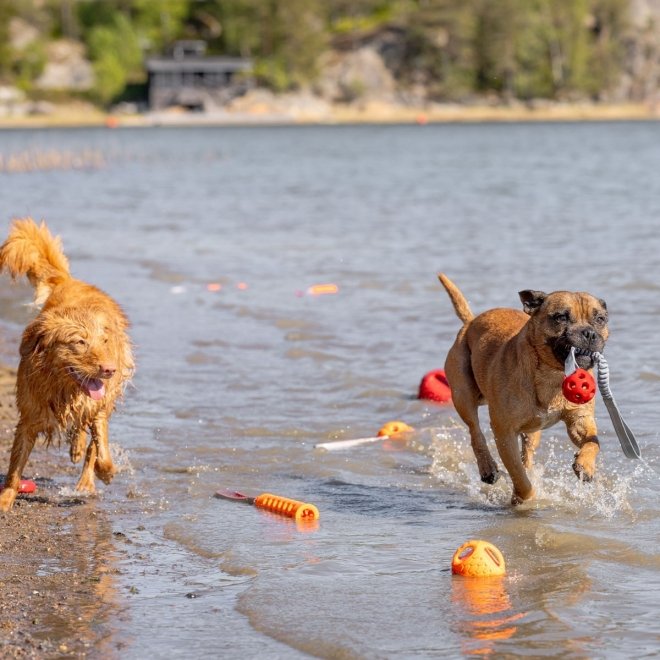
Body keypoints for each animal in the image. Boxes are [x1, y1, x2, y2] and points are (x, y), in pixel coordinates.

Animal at [438, 274, 608, 506]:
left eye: (600, 319)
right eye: (561, 317)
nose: (589, 333)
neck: (552, 374)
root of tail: (471, 322)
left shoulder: (579, 420)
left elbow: (594, 442)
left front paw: (585, 464)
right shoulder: (504, 432)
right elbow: (518, 474)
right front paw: (523, 498)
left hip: (532, 431)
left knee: (527, 452)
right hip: (462, 394)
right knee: (475, 431)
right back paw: (487, 468)